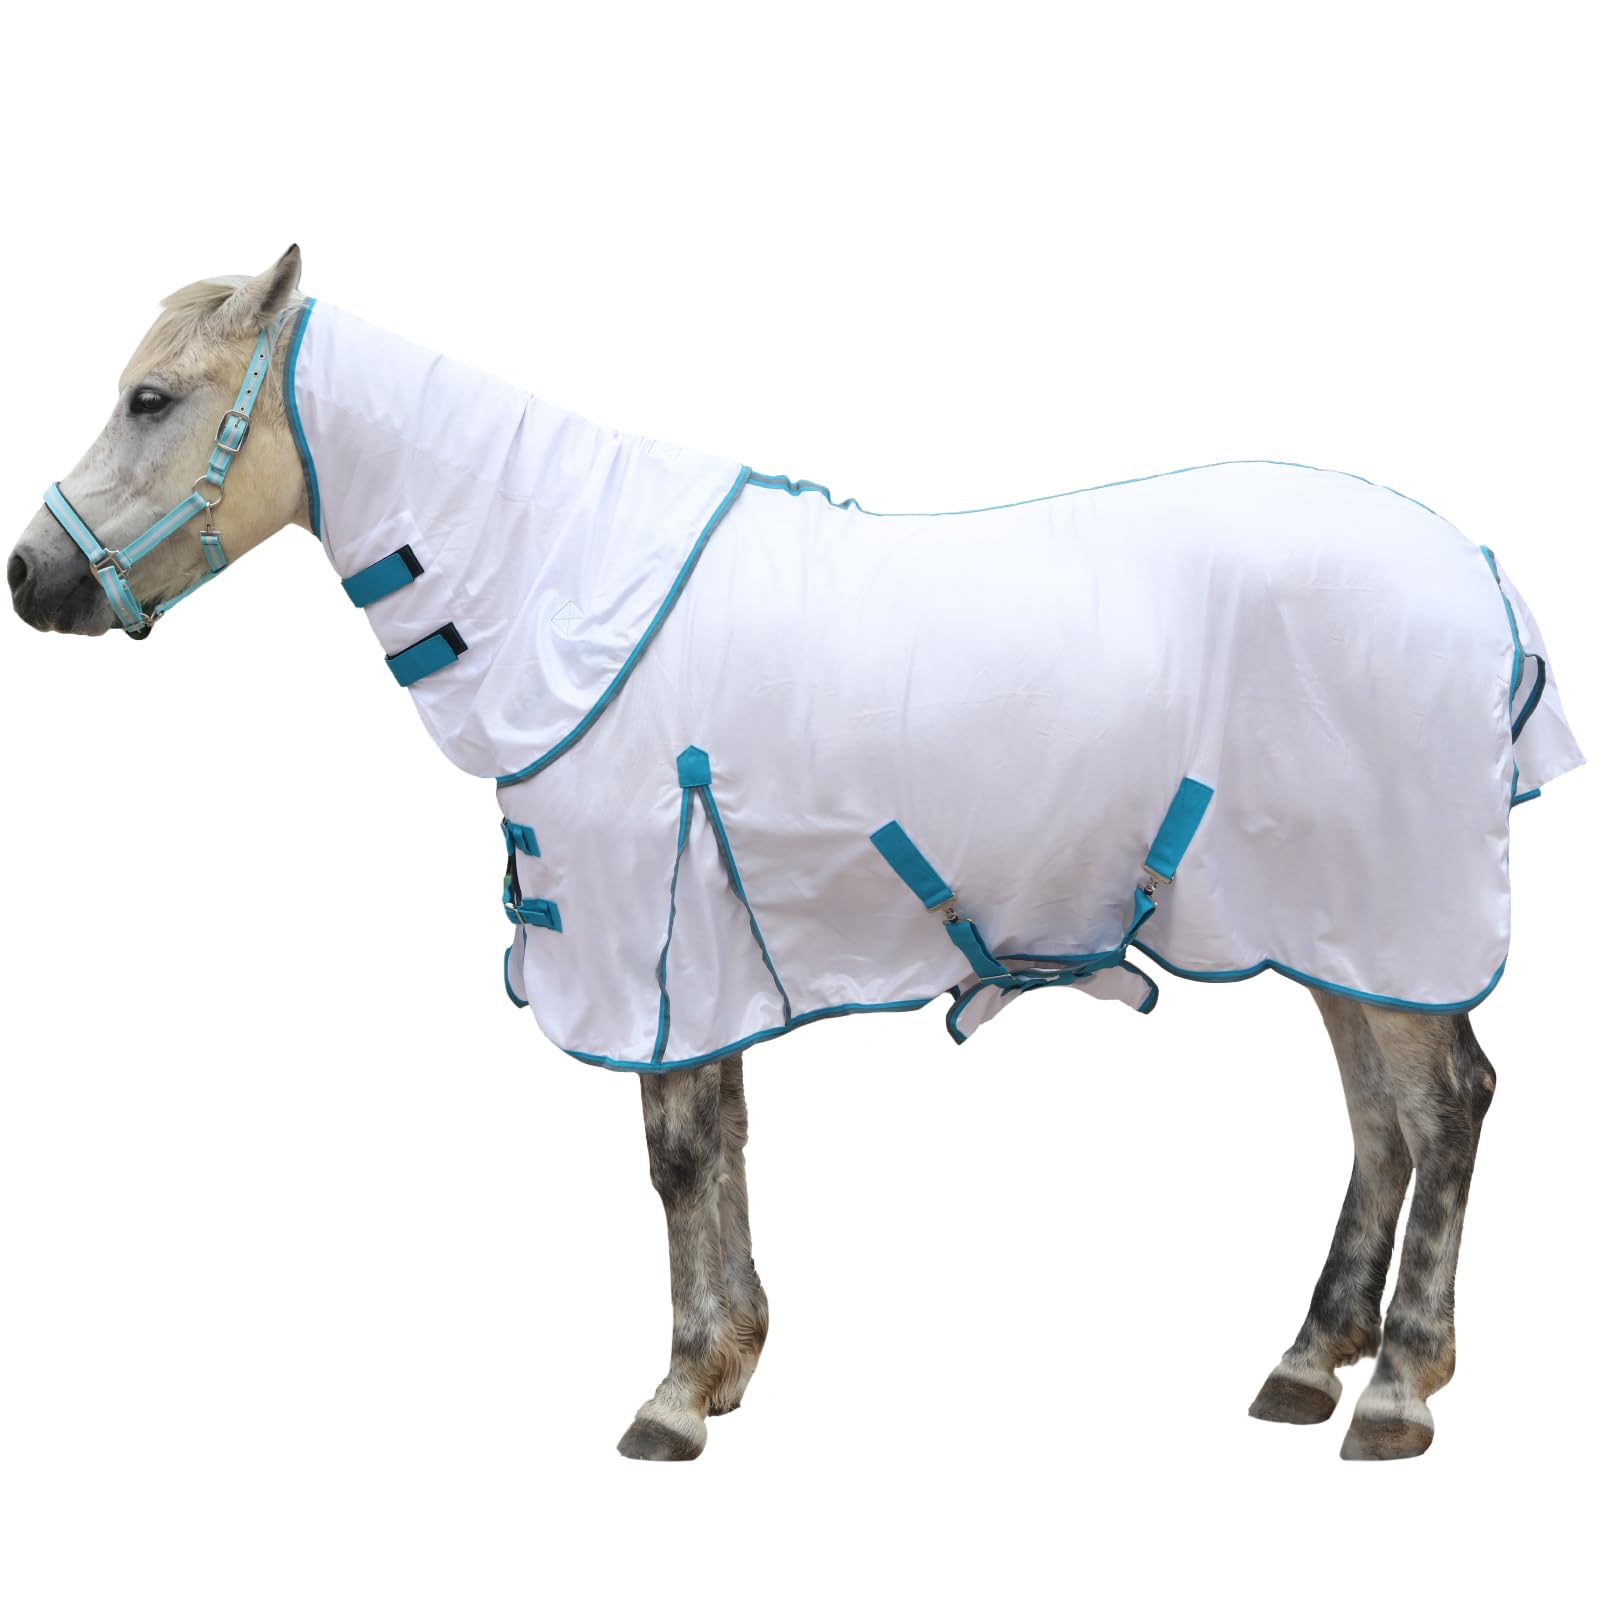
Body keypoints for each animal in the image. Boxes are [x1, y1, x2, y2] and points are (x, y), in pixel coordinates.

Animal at [9, 246, 1582, 1462]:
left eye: (151, 399)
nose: (31, 575)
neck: (563, 579)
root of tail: (1478, 574)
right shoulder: (698, 951)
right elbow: (718, 1143)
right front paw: (727, 1363)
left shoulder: (650, 941)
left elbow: (674, 1156)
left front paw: (673, 1393)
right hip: (1338, 930)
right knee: (1380, 1124)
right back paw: (1308, 1363)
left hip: (1388, 919)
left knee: (1443, 1111)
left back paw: (1395, 1389)